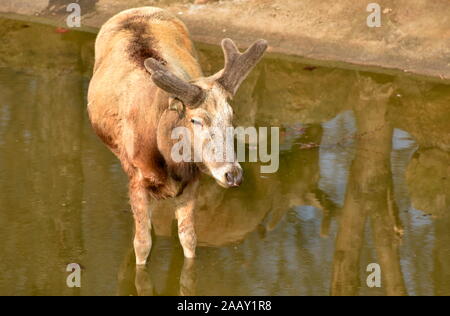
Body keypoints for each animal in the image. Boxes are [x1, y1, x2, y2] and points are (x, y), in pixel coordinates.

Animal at [87, 6, 268, 264]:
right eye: (196, 120)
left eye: (231, 116)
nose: (232, 174)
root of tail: (138, 8)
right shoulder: (137, 178)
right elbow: (141, 244)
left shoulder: (193, 179)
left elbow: (189, 238)